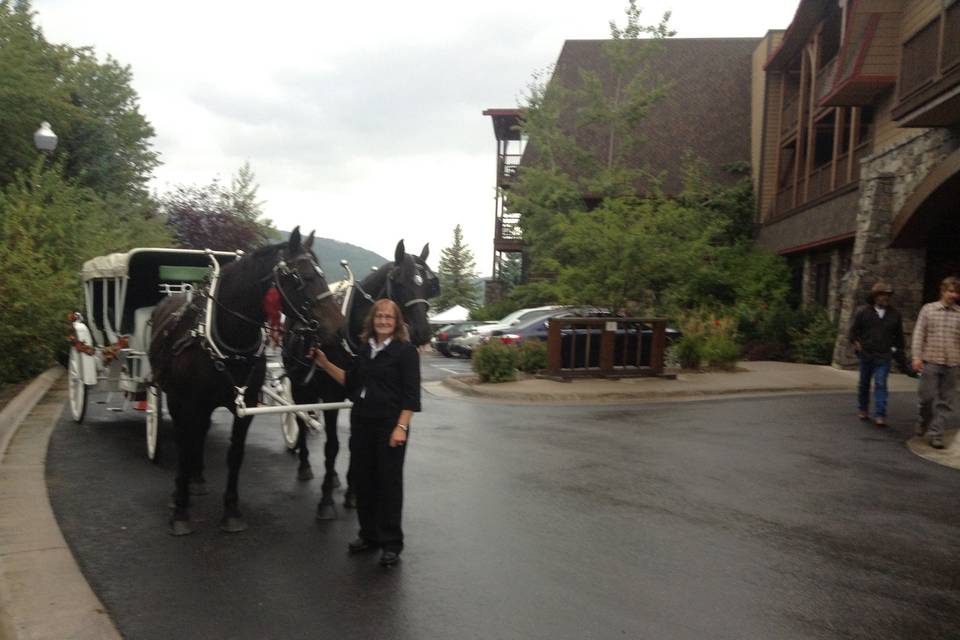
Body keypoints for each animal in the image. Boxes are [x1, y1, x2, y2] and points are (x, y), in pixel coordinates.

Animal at [148, 230, 344, 536]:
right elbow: (184, 448)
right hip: (174, 396)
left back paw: (198, 479)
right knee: (187, 438)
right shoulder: (187, 402)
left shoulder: (246, 404)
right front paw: (180, 510)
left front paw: (231, 511)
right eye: (303, 277)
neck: (228, 338)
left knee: (200, 433)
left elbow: (235, 455)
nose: (339, 328)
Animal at [282, 240, 438, 520]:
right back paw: (304, 466)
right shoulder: (332, 396)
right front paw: (326, 502)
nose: (423, 333)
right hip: (300, 387)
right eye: (399, 281)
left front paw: (353, 493)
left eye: (428, 285)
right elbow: (332, 446)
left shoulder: (358, 399)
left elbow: (356, 444)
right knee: (300, 419)